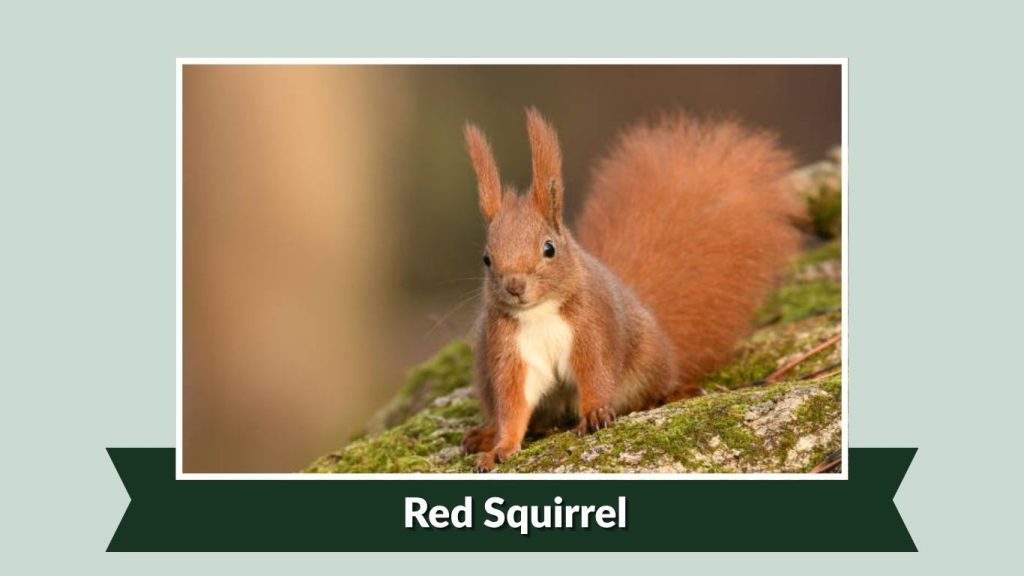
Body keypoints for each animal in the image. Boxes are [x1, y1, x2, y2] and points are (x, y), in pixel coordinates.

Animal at [461, 108, 802, 472]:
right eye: (486, 258)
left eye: (549, 248)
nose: (514, 286)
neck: (538, 313)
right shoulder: (510, 353)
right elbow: (513, 405)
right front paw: (500, 447)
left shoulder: (592, 328)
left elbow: (596, 373)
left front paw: (595, 413)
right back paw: (483, 434)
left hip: (647, 360)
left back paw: (672, 394)